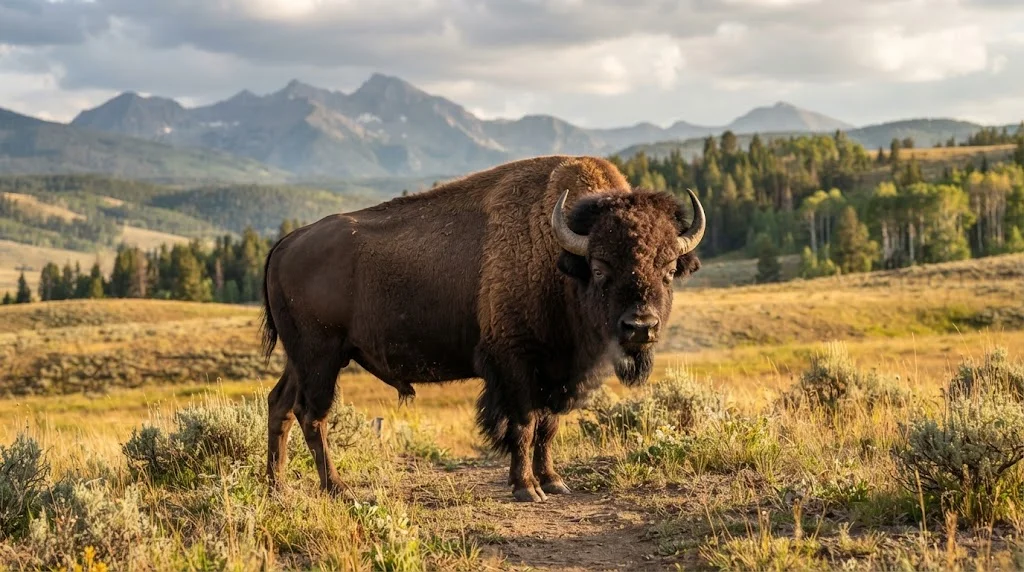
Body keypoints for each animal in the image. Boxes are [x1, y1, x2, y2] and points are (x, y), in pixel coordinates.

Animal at [260, 155, 705, 502]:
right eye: (599, 268)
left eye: (668, 270)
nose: (640, 326)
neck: (558, 256)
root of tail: (287, 242)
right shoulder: (516, 362)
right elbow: (524, 424)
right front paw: (527, 488)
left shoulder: (557, 371)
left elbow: (548, 427)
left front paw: (554, 482)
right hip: (321, 357)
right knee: (311, 415)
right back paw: (337, 489)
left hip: (301, 359)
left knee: (279, 404)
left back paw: (277, 487)